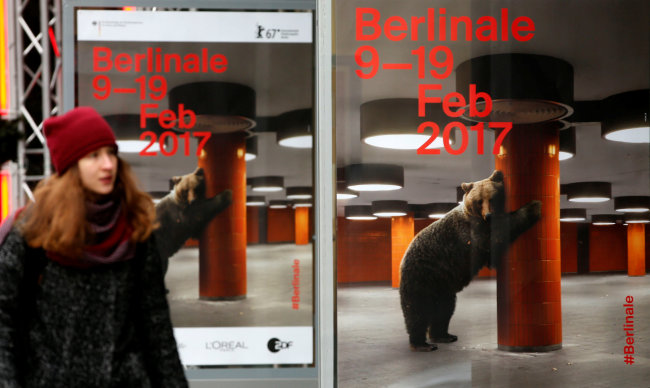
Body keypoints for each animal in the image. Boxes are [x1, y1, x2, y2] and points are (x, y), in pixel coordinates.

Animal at [398, 170, 540, 352]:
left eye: (492, 198)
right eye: (479, 201)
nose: (489, 215)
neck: (478, 218)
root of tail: (403, 260)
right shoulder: (470, 235)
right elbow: (495, 241)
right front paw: (533, 206)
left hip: (442, 285)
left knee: (444, 310)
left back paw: (444, 335)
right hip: (421, 276)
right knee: (417, 310)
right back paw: (421, 343)